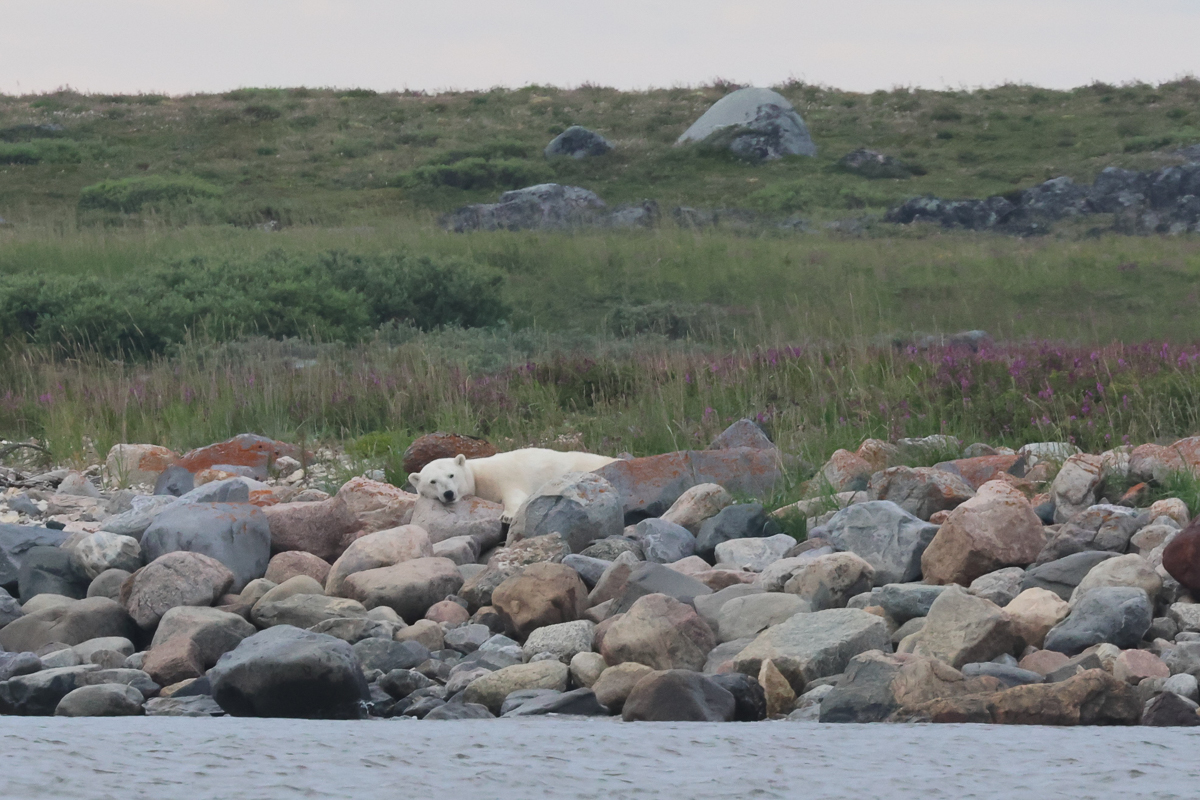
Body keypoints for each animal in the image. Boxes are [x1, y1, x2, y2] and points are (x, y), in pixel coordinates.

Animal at [410, 448, 619, 524]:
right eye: (433, 481)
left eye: (451, 475)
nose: (448, 493)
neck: (478, 475)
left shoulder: (502, 476)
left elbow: (515, 494)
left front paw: (507, 516)